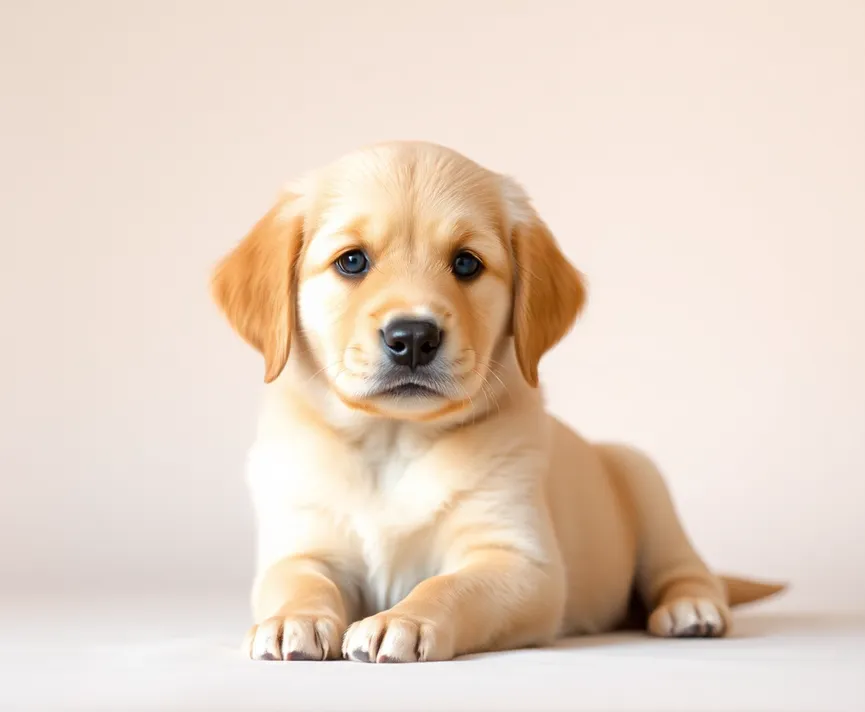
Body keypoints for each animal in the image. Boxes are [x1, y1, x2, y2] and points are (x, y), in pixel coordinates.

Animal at [211, 142, 784, 664]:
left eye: (467, 263)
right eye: (352, 261)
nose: (412, 337)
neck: (394, 440)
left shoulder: (519, 561)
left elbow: (448, 586)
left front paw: (402, 621)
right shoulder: (302, 542)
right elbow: (297, 581)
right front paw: (294, 620)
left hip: (644, 479)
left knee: (685, 568)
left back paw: (692, 609)